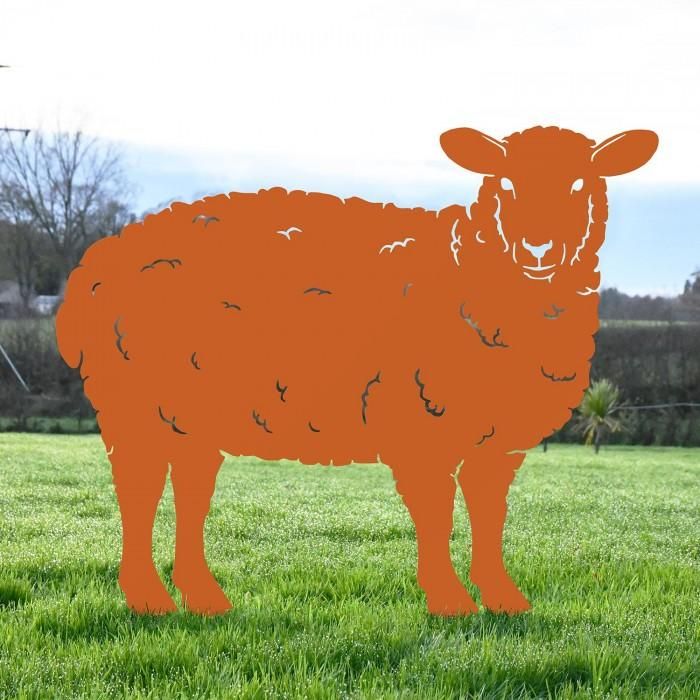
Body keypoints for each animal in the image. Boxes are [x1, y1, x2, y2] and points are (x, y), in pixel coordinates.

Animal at [55, 125, 658, 616]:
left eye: (581, 184)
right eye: (505, 183)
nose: (538, 249)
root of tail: (96, 262)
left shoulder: (497, 442)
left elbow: (490, 517)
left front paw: (504, 600)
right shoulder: (420, 422)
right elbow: (437, 516)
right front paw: (450, 602)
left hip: (186, 414)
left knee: (189, 490)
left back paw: (202, 599)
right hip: (133, 404)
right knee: (139, 494)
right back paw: (150, 599)